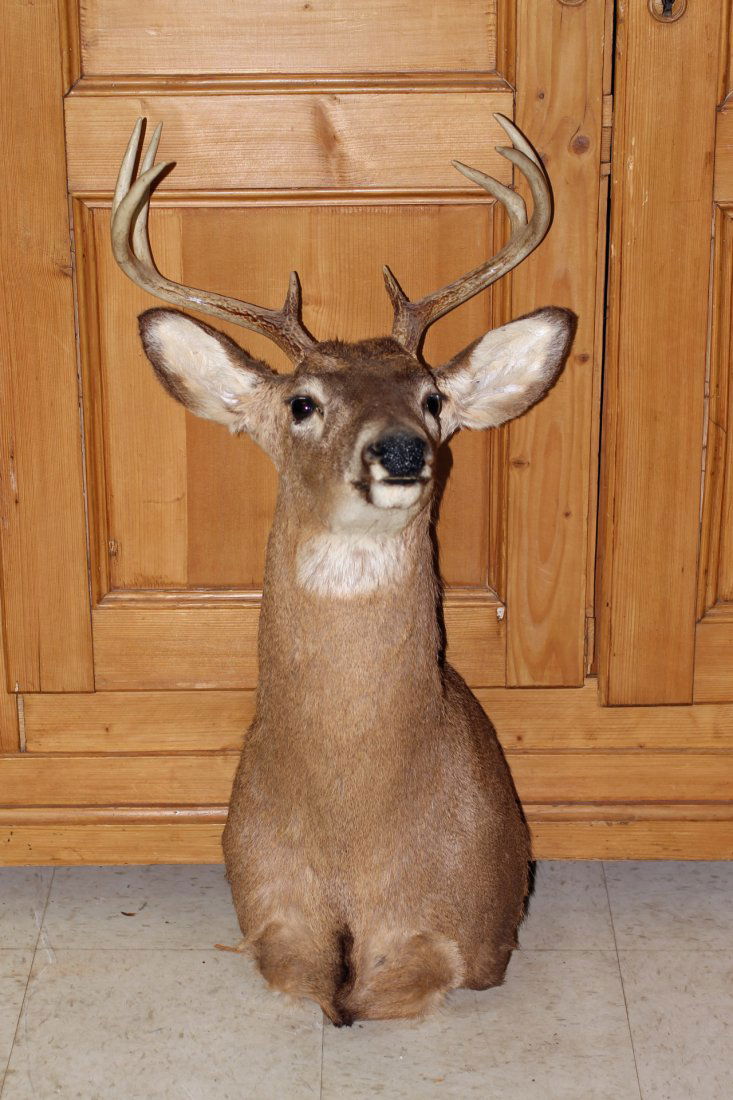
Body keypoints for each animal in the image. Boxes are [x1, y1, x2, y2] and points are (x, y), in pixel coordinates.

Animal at [111, 115, 575, 1026]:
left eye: (432, 397)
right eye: (302, 403)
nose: (399, 450)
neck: (353, 829)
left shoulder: (476, 934)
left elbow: (400, 982)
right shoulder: (271, 919)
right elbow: (316, 981)